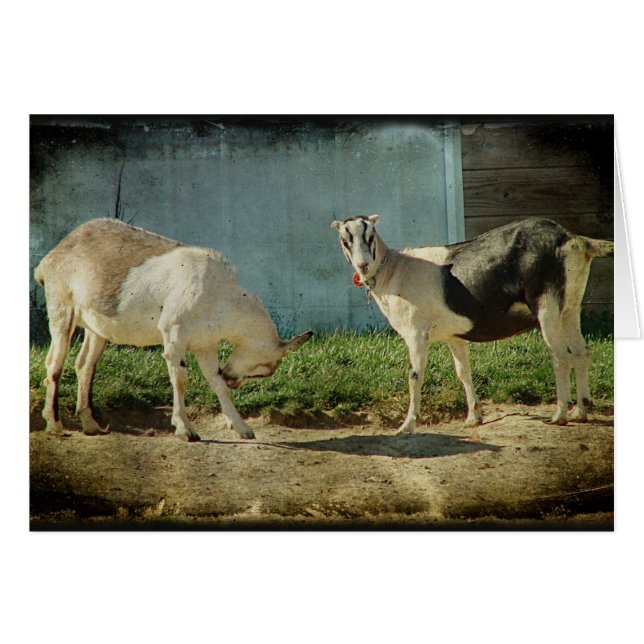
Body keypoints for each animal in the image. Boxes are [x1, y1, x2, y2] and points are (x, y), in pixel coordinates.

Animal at [34, 218, 312, 441]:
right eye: (264, 371)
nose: (233, 379)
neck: (218, 293)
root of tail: (49, 260)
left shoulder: (205, 344)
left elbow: (215, 381)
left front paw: (243, 428)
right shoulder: (174, 333)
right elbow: (180, 378)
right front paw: (185, 430)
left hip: (97, 326)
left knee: (84, 365)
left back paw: (90, 424)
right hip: (61, 308)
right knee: (54, 364)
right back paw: (54, 424)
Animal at [332, 215, 613, 441]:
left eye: (370, 236)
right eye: (344, 240)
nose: (363, 265)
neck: (394, 270)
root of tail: (573, 239)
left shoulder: (416, 333)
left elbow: (414, 375)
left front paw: (407, 425)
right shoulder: (454, 336)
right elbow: (462, 372)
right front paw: (473, 418)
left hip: (546, 304)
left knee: (561, 356)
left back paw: (560, 415)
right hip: (570, 306)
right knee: (581, 352)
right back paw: (580, 411)